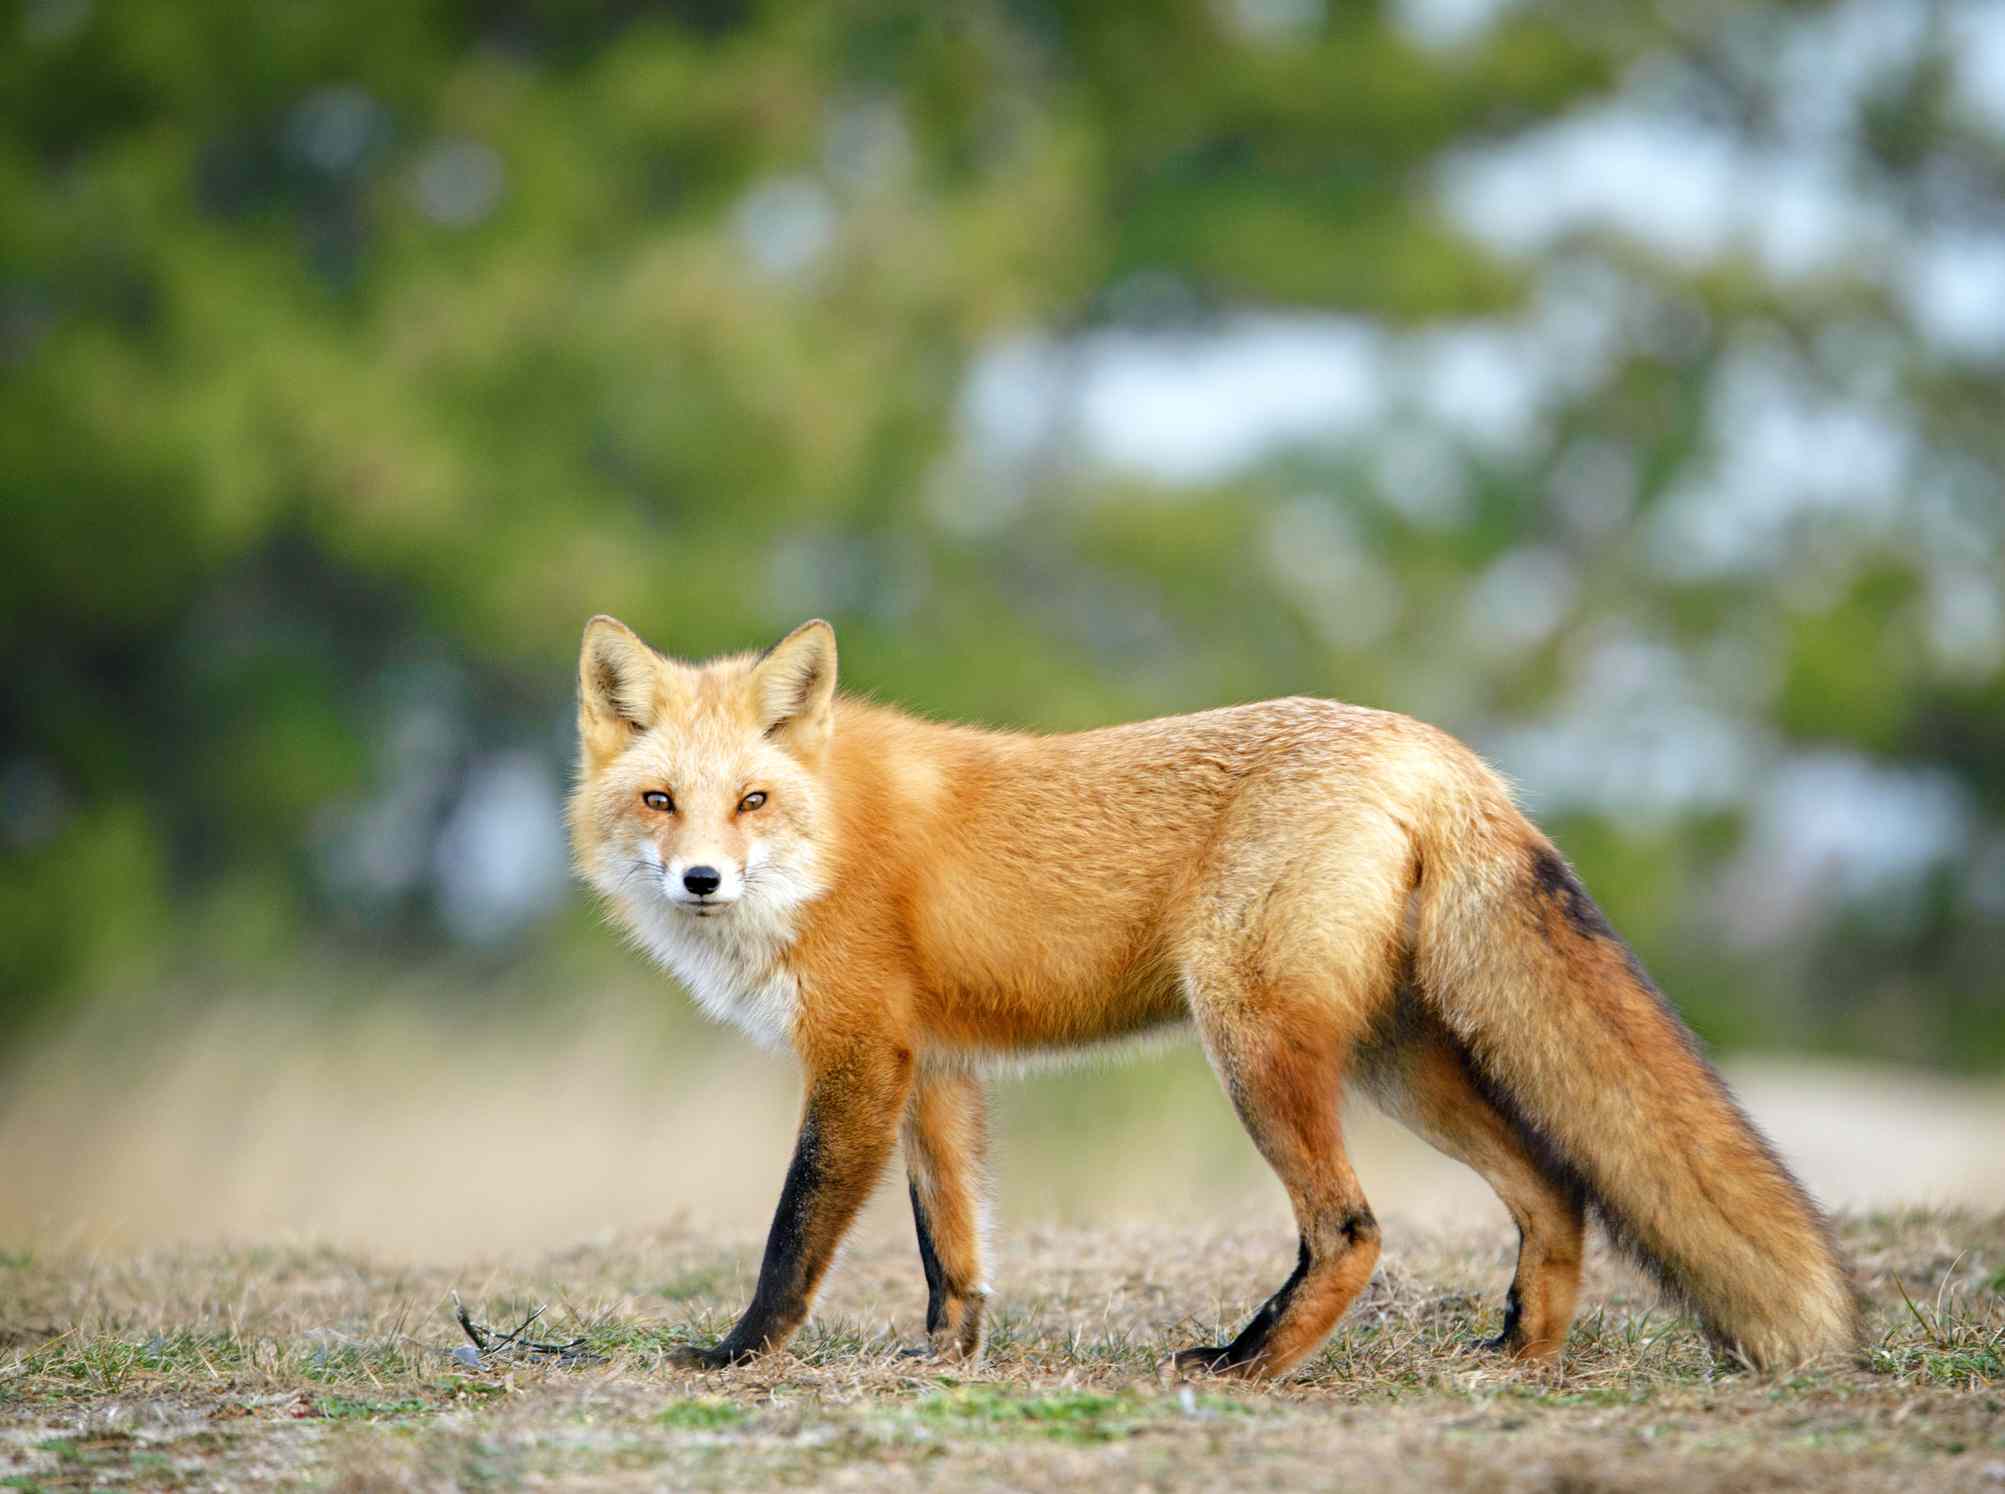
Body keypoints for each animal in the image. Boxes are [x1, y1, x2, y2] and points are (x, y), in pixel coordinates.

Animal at [568, 613, 1858, 1379]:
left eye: (751, 802)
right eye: (658, 801)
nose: (699, 880)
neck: (832, 832)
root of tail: (1439, 752)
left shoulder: (858, 1055)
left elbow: (794, 1235)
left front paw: (735, 1357)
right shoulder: (933, 1064)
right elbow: (954, 1248)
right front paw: (949, 1359)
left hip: (1252, 1043)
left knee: (1351, 1228)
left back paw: (1254, 1366)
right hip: (1396, 1063)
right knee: (1551, 1191)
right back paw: (1517, 1353)